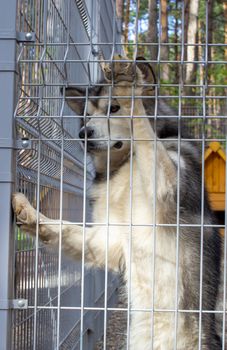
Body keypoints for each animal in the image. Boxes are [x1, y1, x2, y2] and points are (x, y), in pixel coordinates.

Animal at [12, 56, 222, 348]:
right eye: (87, 115)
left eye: (113, 108)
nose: (83, 133)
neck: (125, 164)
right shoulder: (107, 239)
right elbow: (63, 227)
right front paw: (30, 214)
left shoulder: (168, 184)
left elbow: (147, 136)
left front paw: (126, 88)